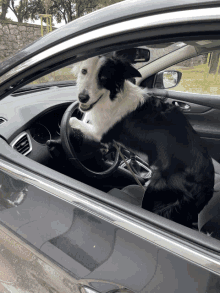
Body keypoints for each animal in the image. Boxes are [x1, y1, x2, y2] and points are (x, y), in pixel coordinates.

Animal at [71, 55, 215, 228]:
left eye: (104, 78)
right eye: (84, 71)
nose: (82, 97)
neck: (112, 97)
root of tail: (208, 184)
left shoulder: (99, 133)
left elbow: (76, 122)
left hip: (156, 190)